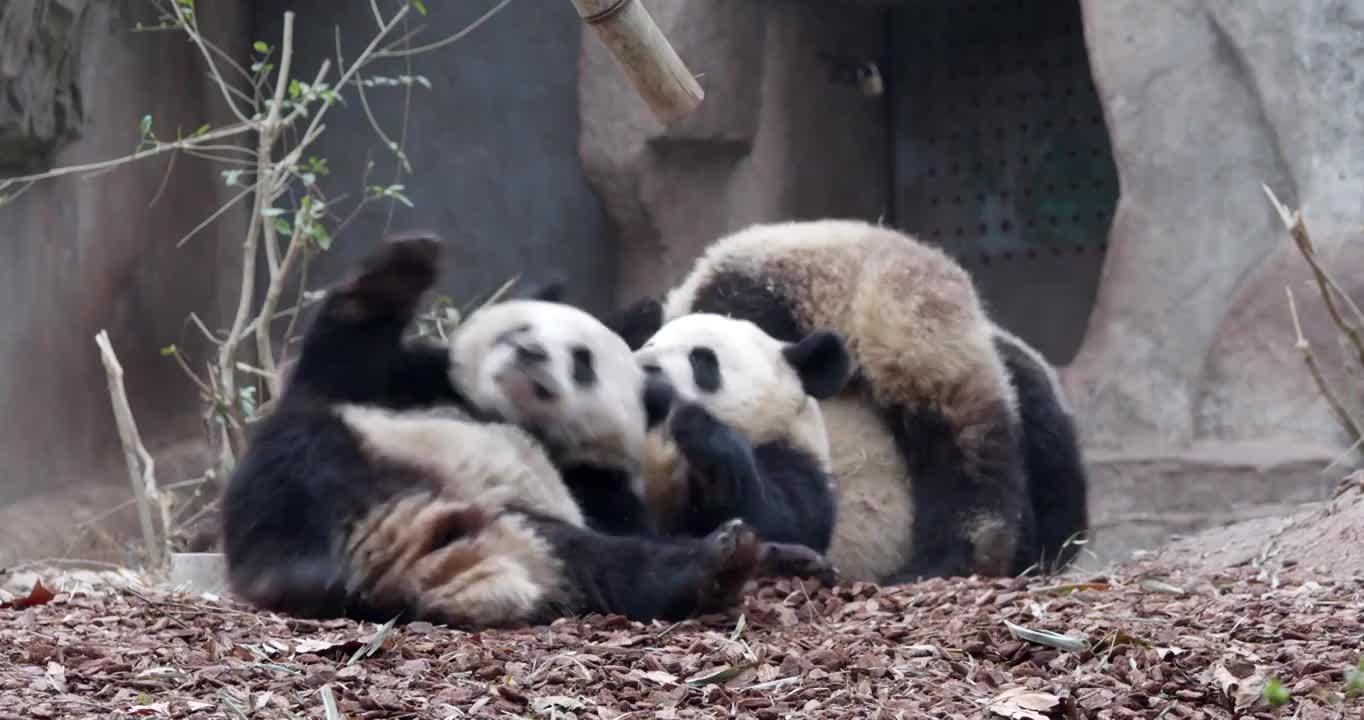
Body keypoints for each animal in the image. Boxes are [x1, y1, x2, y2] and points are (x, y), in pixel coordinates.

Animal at [630, 312, 845, 553]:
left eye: (702, 359)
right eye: (649, 344)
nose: (645, 369)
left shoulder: (795, 456)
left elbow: (778, 521)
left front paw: (697, 425)